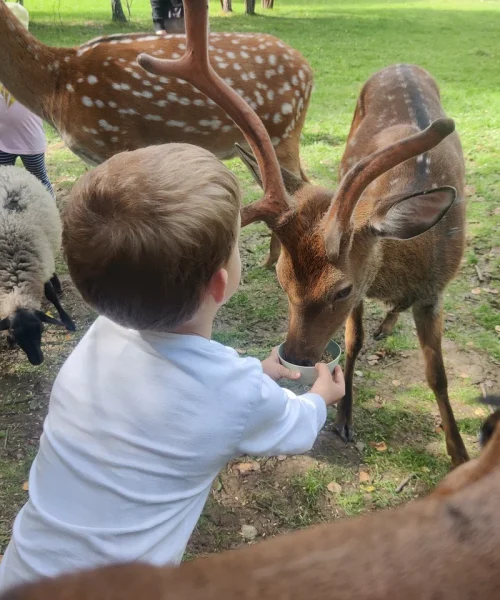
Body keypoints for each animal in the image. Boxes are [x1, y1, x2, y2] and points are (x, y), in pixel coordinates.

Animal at [0, 163, 74, 366]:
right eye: (15, 335)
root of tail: (6, 167)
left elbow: (51, 295)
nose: (37, 361)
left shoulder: (40, 266)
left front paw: (67, 320)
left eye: (41, 329)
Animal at [134, 3, 468, 464]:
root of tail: (401, 63)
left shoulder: (433, 291)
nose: (294, 356)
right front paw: (344, 416)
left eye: (341, 290)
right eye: (282, 280)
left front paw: (459, 452)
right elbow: (354, 344)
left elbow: (437, 374)